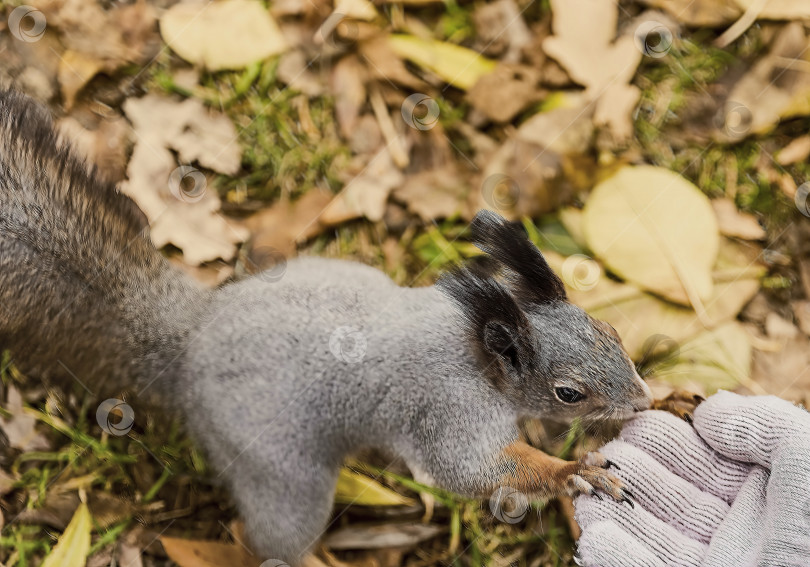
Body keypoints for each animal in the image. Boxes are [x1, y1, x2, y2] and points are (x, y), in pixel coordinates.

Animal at [0, 92, 652, 564]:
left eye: (610, 332)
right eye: (569, 392)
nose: (644, 400)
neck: (479, 348)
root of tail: (191, 340)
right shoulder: (448, 410)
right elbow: (469, 471)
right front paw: (572, 473)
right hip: (283, 471)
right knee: (263, 537)